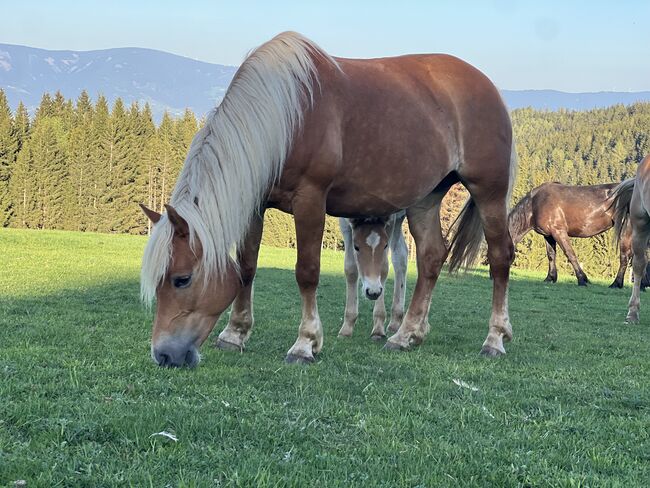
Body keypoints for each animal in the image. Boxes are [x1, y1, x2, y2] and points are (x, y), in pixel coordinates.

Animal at [336, 212, 408, 342]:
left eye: (385, 245)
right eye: (356, 246)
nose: (373, 292)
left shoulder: (392, 219)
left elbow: (384, 268)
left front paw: (378, 329)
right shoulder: (344, 221)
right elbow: (350, 269)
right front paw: (347, 328)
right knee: (400, 255)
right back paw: (395, 322)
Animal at [508, 182, 636, 290]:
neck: (535, 204)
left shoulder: (559, 232)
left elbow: (570, 254)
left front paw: (582, 279)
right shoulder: (548, 236)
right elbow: (551, 255)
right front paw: (550, 278)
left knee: (625, 256)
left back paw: (616, 284)